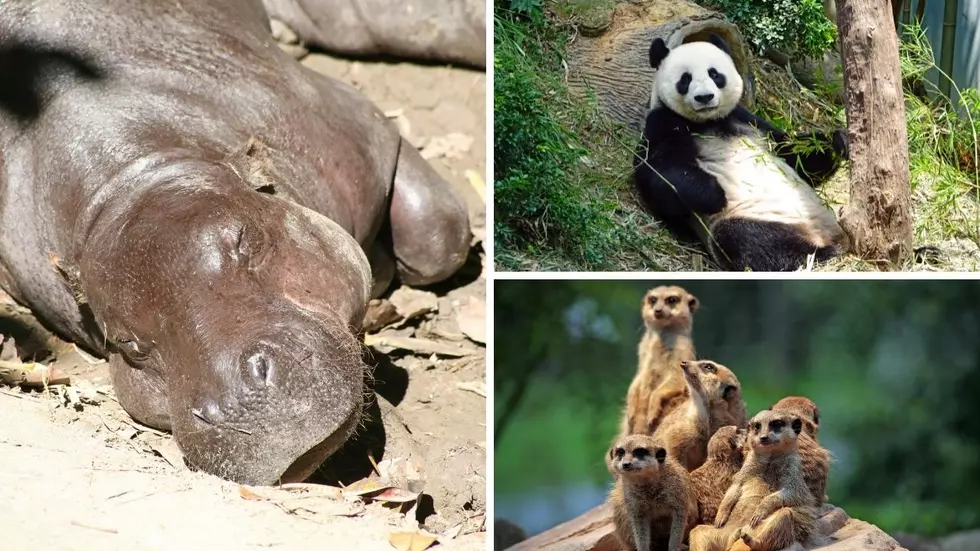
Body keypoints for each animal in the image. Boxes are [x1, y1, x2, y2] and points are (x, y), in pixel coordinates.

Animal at [636, 34, 848, 272]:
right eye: (685, 79)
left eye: (714, 74)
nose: (704, 97)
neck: (709, 121)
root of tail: (823, 235)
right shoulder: (662, 123)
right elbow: (657, 171)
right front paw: (712, 194)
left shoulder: (748, 120)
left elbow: (793, 155)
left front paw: (838, 141)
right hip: (757, 216)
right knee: (750, 239)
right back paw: (820, 255)